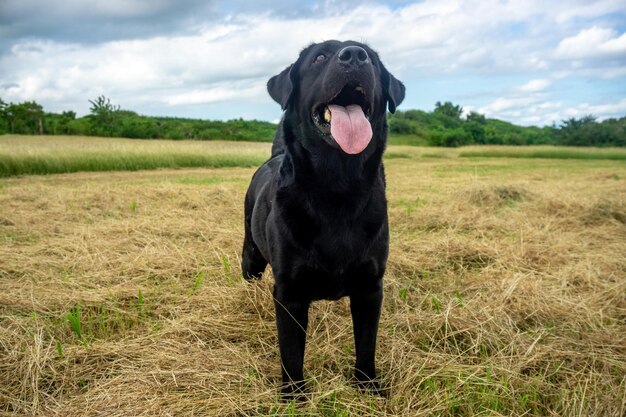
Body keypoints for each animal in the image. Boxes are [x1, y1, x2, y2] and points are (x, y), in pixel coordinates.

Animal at [239, 38, 404, 394]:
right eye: (319, 58)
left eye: (372, 61)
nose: (355, 56)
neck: (337, 186)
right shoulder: (290, 294)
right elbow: (291, 352)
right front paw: (293, 395)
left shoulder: (370, 288)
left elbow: (366, 343)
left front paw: (367, 385)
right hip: (251, 257)